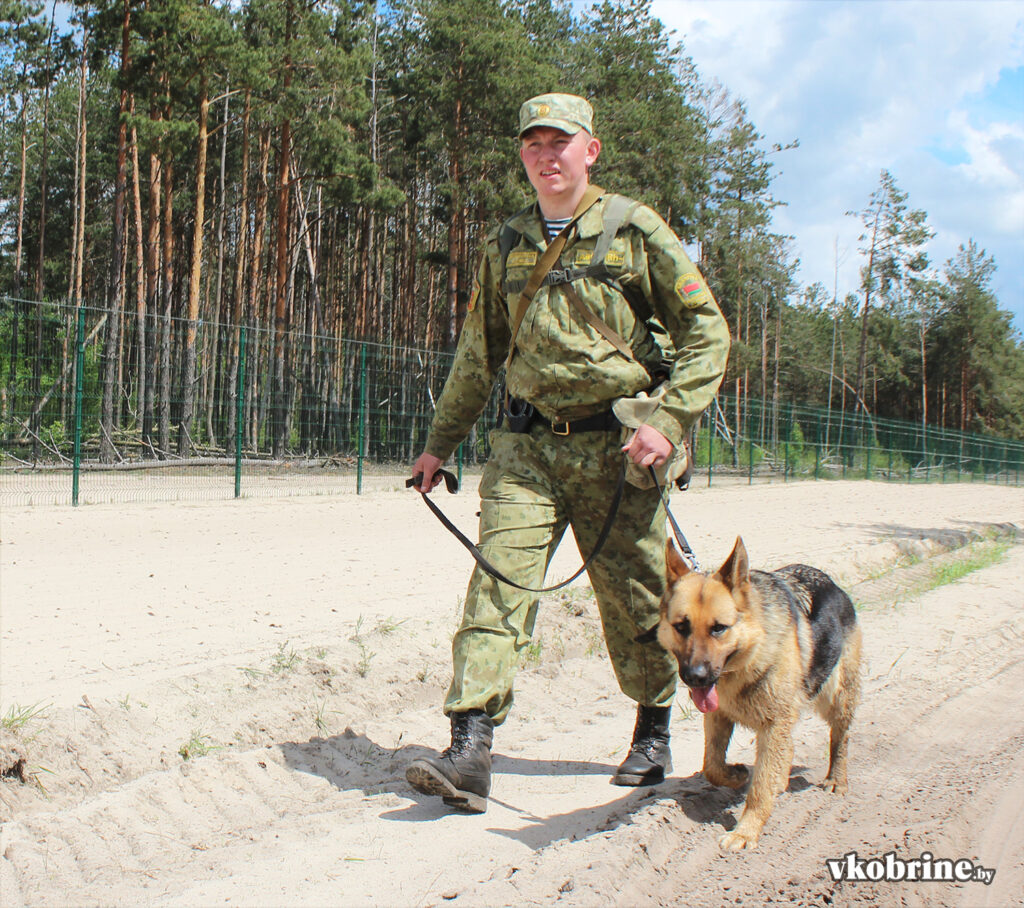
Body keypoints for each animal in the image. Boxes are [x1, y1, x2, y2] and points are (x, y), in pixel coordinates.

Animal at [651, 540, 860, 851]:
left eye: (718, 628)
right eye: (681, 627)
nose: (695, 677)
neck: (749, 657)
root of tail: (829, 580)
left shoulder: (773, 725)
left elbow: (760, 788)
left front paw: (745, 832)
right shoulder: (719, 717)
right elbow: (712, 766)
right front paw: (736, 774)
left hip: (837, 699)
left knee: (839, 739)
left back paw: (836, 779)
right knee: (788, 750)